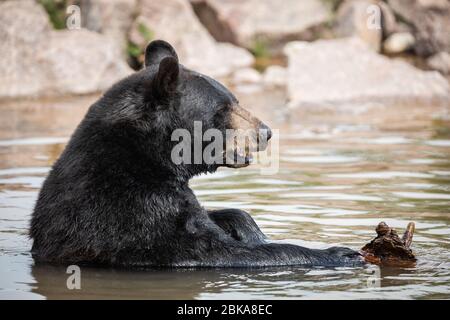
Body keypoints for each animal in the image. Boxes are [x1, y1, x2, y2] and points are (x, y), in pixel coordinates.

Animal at [29, 39, 364, 268]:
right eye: (224, 107)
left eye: (235, 99)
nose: (265, 132)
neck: (146, 157)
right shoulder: (133, 212)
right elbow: (218, 252)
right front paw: (339, 253)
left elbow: (214, 216)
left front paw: (251, 229)